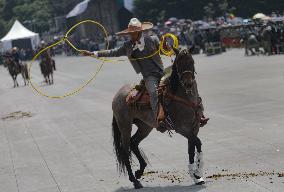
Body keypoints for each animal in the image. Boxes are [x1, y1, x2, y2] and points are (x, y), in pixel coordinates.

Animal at [110, 47, 204, 188]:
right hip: (125, 126)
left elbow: (191, 149)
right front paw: (197, 174)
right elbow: (197, 143)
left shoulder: (194, 128)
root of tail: (118, 94)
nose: (188, 83)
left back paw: (140, 171)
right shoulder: (182, 129)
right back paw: (135, 180)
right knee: (126, 150)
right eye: (178, 64)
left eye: (192, 62)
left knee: (134, 143)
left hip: (145, 126)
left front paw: (196, 176)